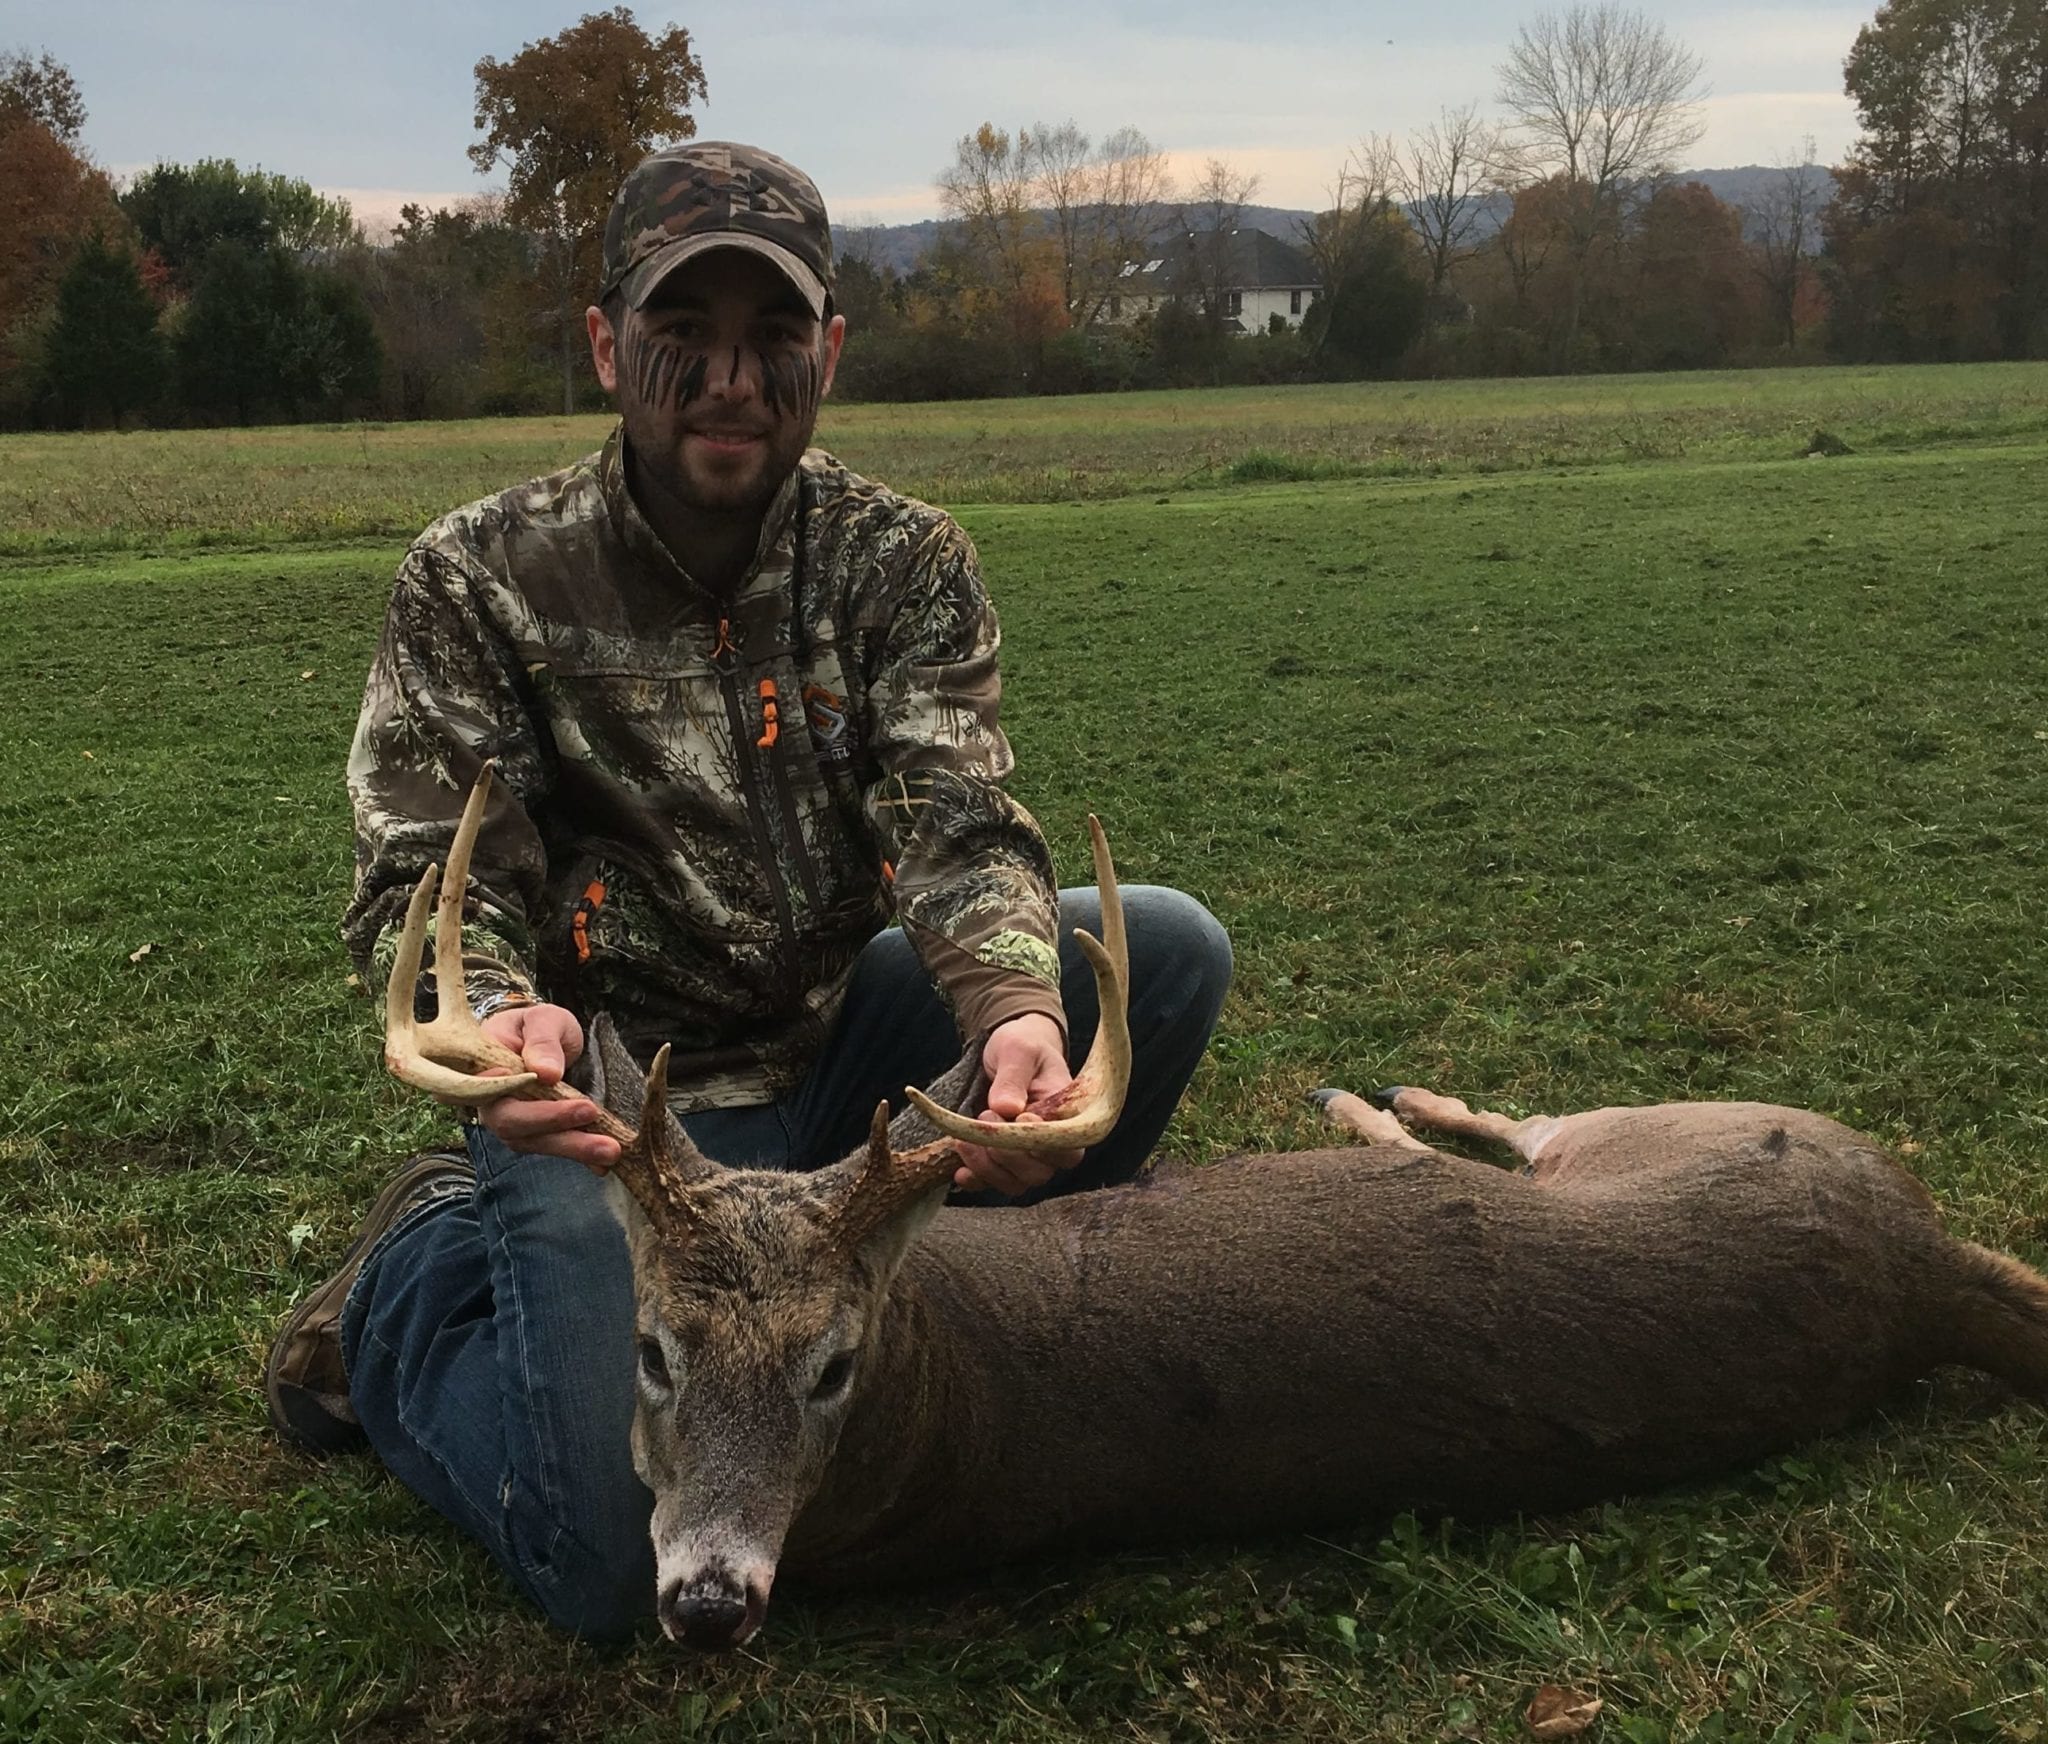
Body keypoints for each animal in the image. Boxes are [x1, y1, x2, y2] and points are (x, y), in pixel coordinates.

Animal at [380, 765, 2048, 1645]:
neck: (946, 1397)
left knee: (1511, 1128)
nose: (712, 1600)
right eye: (651, 1350)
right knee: (1500, 1134)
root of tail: (1928, 1268)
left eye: (832, 1363)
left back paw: (1371, 1100)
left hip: (1670, 1127)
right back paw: (1374, 1103)